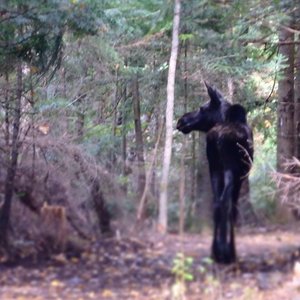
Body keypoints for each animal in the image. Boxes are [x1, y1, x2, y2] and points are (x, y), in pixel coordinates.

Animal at [177, 83, 254, 264]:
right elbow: (233, 209)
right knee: (225, 203)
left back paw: (215, 252)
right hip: (230, 169)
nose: (181, 120)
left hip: (215, 168)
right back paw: (228, 253)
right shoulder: (242, 175)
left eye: (202, 108)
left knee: (217, 204)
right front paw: (230, 251)